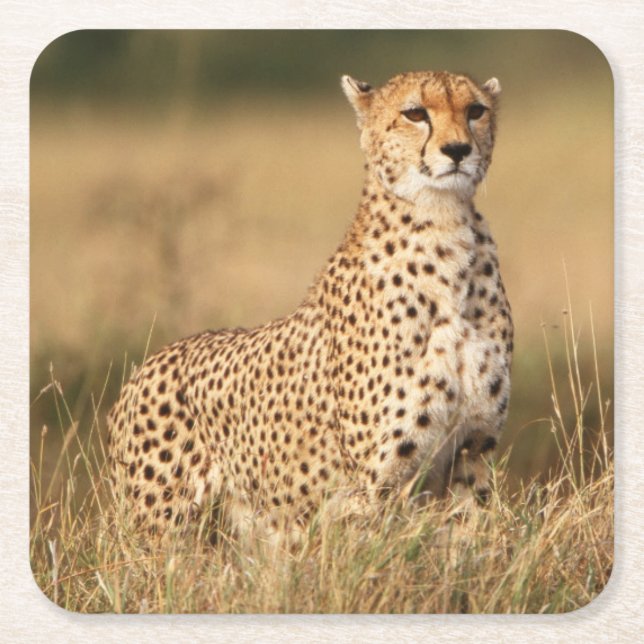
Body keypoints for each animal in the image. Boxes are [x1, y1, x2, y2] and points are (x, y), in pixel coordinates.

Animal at [106, 70, 513, 544]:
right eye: (415, 113)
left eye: (475, 110)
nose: (458, 150)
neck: (444, 226)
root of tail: (145, 365)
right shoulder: (376, 483)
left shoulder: (472, 454)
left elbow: (473, 546)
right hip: (160, 528)